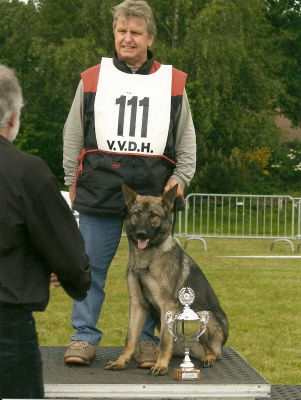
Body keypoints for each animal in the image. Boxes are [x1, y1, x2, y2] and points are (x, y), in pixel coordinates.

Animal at [105, 183, 227, 376]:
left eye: (153, 215)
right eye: (136, 213)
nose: (141, 234)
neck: (147, 259)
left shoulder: (166, 305)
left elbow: (163, 340)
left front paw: (160, 365)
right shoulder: (137, 303)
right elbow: (130, 338)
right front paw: (121, 361)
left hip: (202, 315)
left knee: (215, 352)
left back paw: (208, 357)